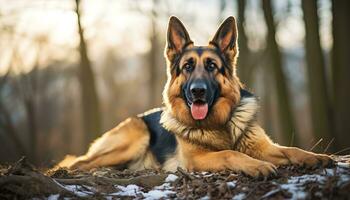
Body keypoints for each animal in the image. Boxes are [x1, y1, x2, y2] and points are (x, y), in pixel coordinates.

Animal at [60, 16, 334, 177]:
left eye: (212, 66)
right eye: (188, 67)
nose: (198, 91)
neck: (221, 124)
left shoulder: (263, 146)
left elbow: (292, 149)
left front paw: (316, 157)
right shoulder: (196, 160)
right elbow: (231, 153)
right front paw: (257, 166)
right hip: (135, 138)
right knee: (78, 163)